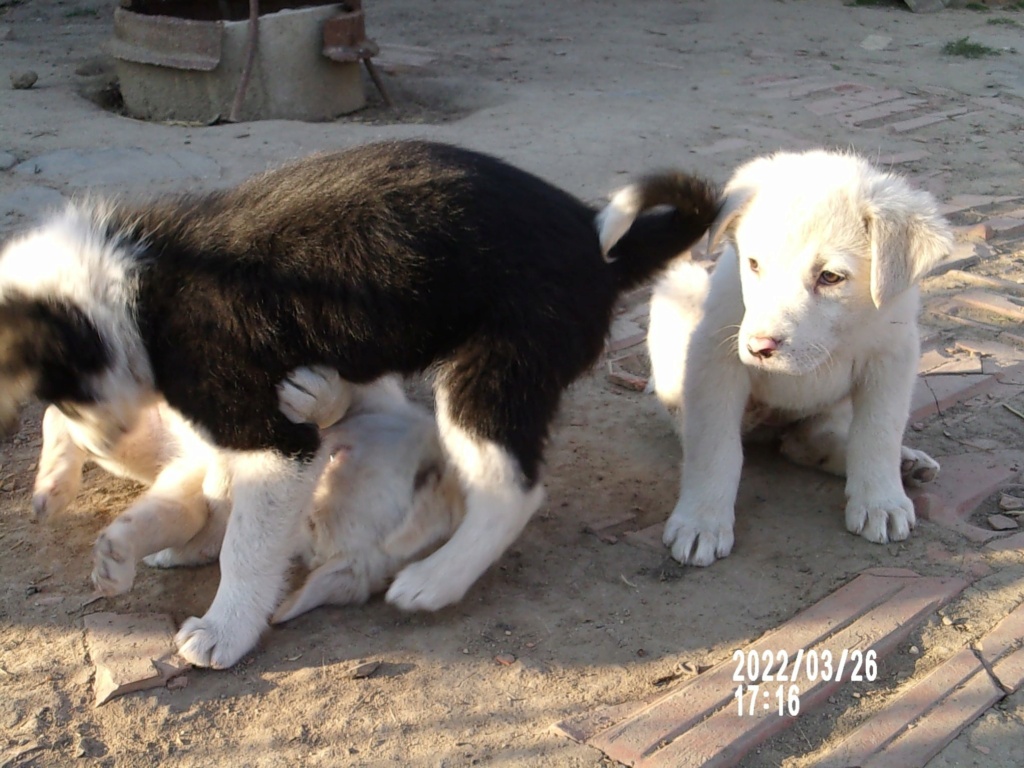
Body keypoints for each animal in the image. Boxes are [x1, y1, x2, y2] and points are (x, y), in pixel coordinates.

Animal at [32, 370, 464, 622]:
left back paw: (53, 486)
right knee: (63, 411)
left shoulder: (192, 475)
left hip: (137, 442)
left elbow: (181, 514)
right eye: (336, 456)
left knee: (71, 423)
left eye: (310, 523)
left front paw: (117, 560)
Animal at [606, 150, 950, 569]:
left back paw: (906, 465)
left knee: (806, 442)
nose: (759, 348)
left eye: (831, 277)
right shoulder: (715, 358)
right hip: (681, 296)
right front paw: (702, 521)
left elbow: (877, 433)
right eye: (754, 264)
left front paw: (880, 500)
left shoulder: (892, 355)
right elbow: (715, 448)